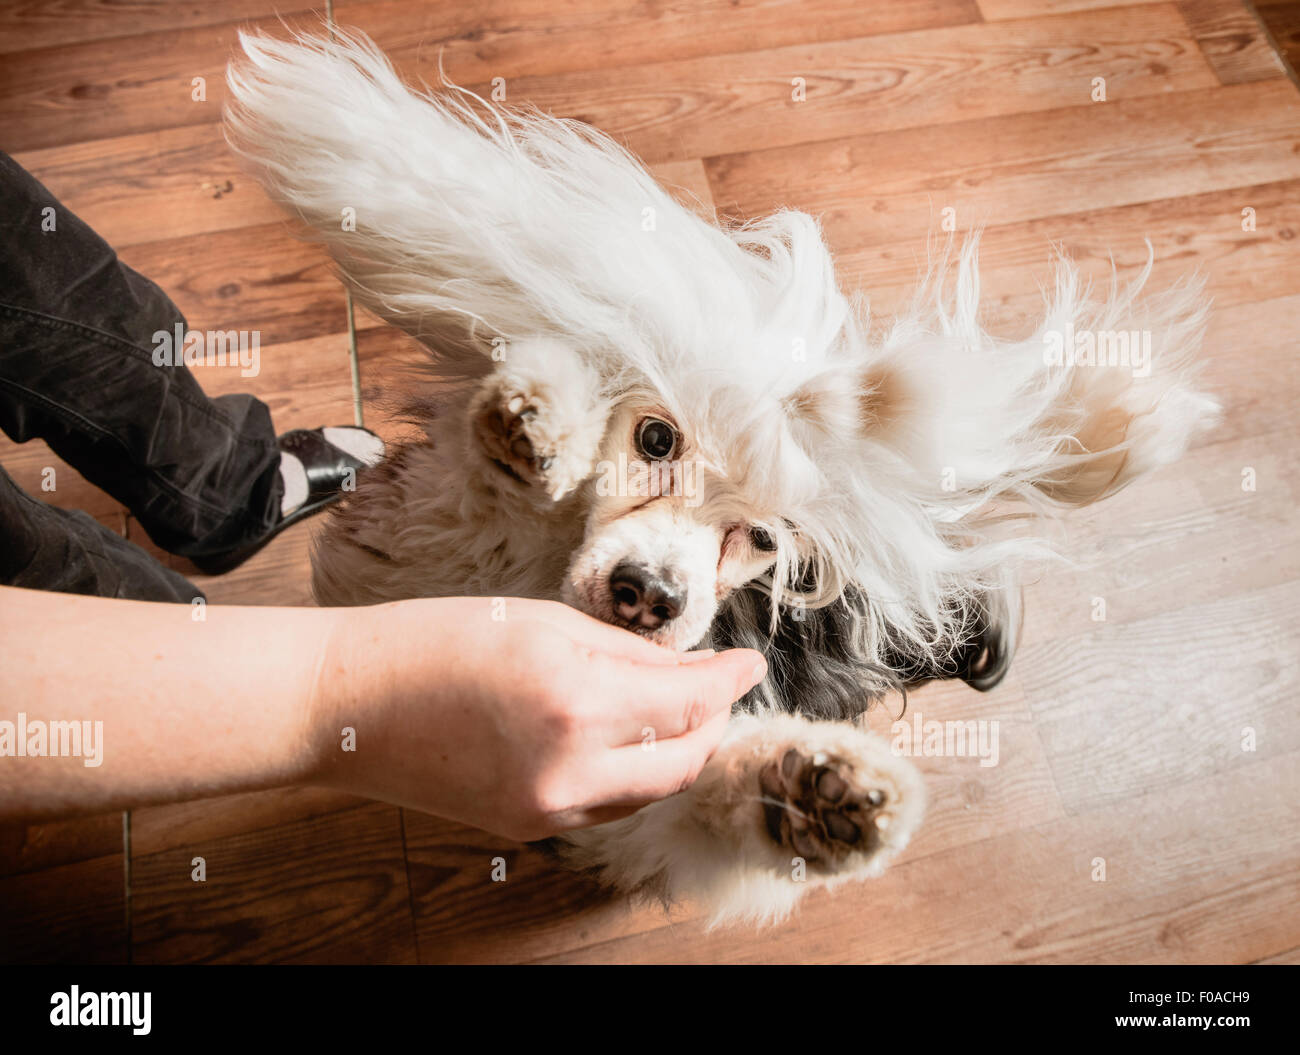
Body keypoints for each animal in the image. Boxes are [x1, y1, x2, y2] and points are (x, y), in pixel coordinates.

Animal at [226, 30, 1216, 925]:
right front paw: (539, 425)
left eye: (768, 537)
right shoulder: (409, 556)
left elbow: (711, 796)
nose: (649, 595)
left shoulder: (641, 787)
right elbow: (497, 488)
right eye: (656, 438)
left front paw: (813, 795)